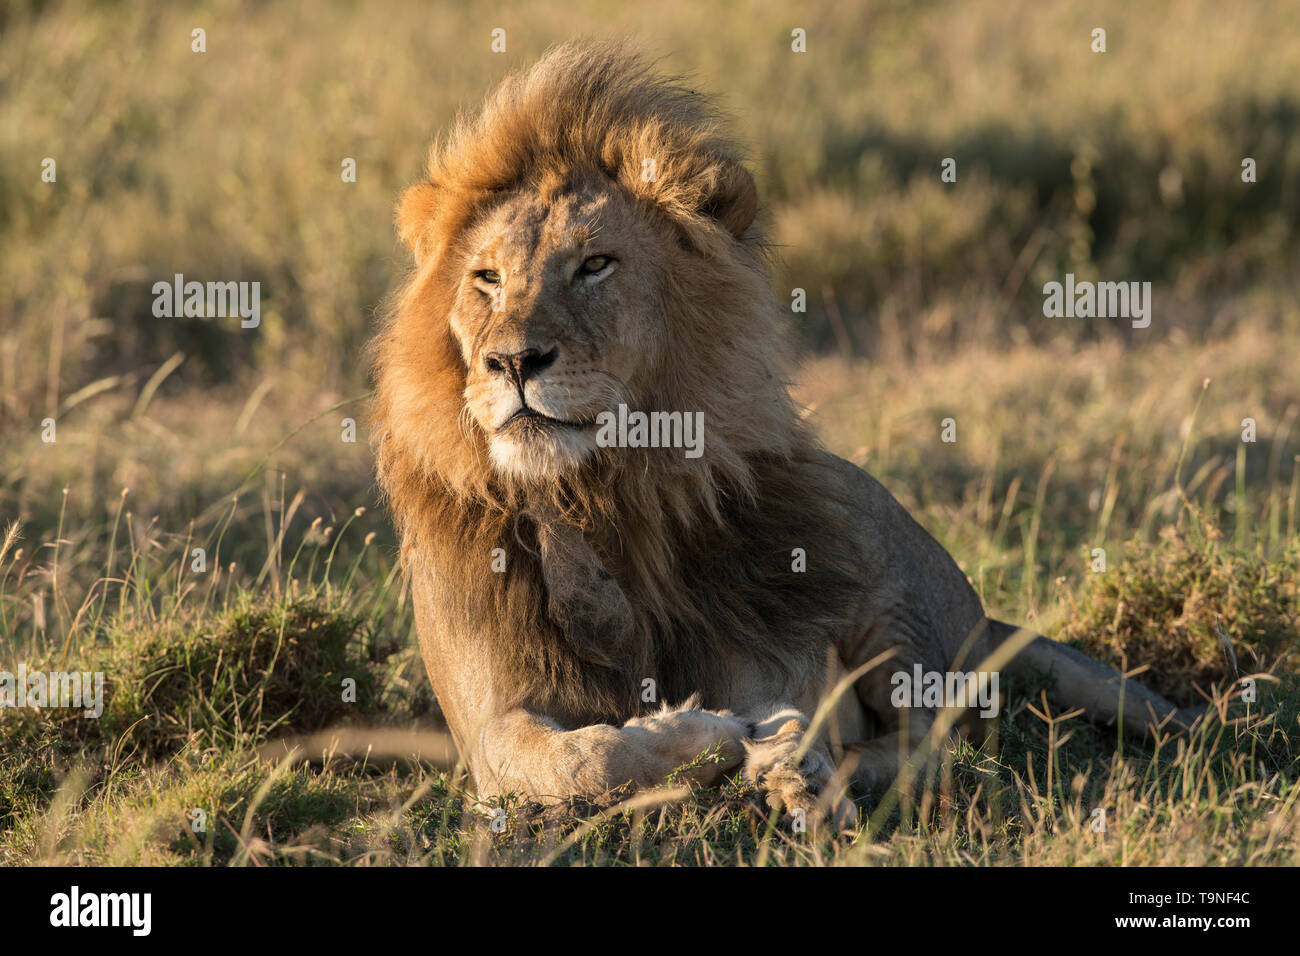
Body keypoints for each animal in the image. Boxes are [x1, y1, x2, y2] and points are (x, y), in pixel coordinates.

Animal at [369, 40, 1203, 828]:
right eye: (486, 279)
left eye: (596, 265)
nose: (512, 361)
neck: (608, 489)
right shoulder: (489, 724)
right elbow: (581, 760)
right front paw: (705, 738)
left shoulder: (764, 641)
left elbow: (783, 712)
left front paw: (781, 762)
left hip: (880, 584)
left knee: (936, 747)